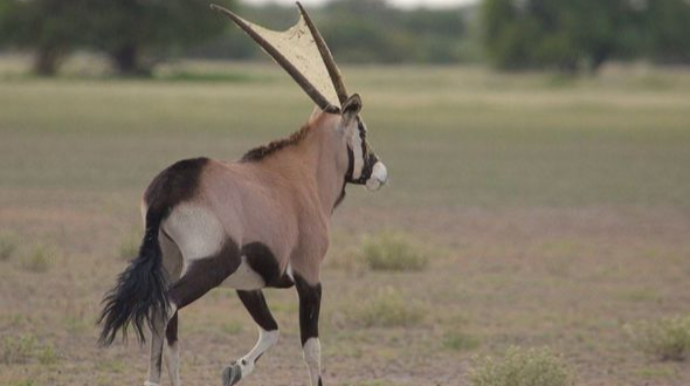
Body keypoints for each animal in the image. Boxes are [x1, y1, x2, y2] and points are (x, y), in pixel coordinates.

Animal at [97, 3, 388, 386]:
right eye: (362, 131)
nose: (380, 172)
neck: (304, 171)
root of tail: (168, 189)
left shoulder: (248, 284)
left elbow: (271, 331)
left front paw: (234, 369)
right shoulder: (309, 274)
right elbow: (311, 348)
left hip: (173, 264)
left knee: (170, 326)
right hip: (210, 265)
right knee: (166, 308)